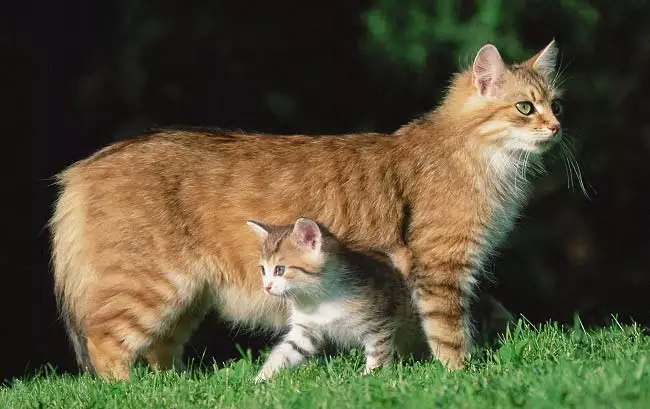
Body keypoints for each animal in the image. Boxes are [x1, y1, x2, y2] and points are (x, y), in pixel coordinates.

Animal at [50, 39, 556, 378]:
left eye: (555, 104)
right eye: (525, 108)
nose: (556, 127)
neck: (480, 158)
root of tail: (81, 168)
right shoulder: (442, 268)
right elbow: (450, 336)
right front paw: (460, 375)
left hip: (187, 300)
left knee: (159, 354)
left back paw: (174, 386)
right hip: (150, 288)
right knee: (106, 346)